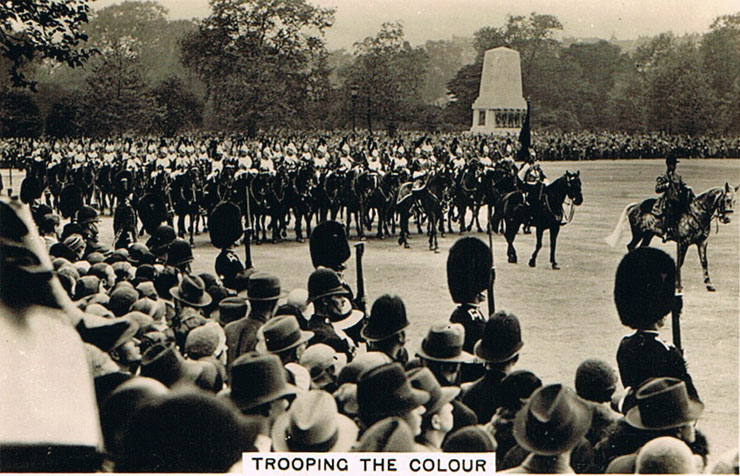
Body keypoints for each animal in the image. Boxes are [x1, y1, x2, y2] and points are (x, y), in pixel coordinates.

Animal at [608, 182, 736, 292]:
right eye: (727, 200)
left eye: (734, 201)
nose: (727, 219)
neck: (697, 213)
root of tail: (636, 206)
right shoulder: (684, 242)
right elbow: (680, 261)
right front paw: (677, 284)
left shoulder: (702, 242)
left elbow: (704, 262)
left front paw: (709, 284)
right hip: (638, 234)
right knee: (631, 246)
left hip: (647, 236)